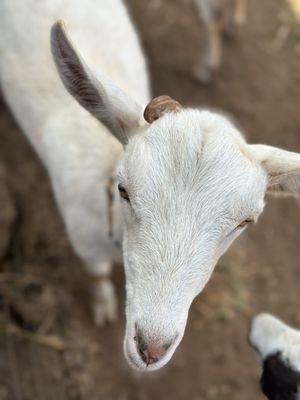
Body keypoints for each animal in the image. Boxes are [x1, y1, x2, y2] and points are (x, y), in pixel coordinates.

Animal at [0, 0, 300, 372]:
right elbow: (97, 275)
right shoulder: (85, 242)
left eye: (246, 221)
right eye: (123, 190)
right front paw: (103, 306)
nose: (150, 350)